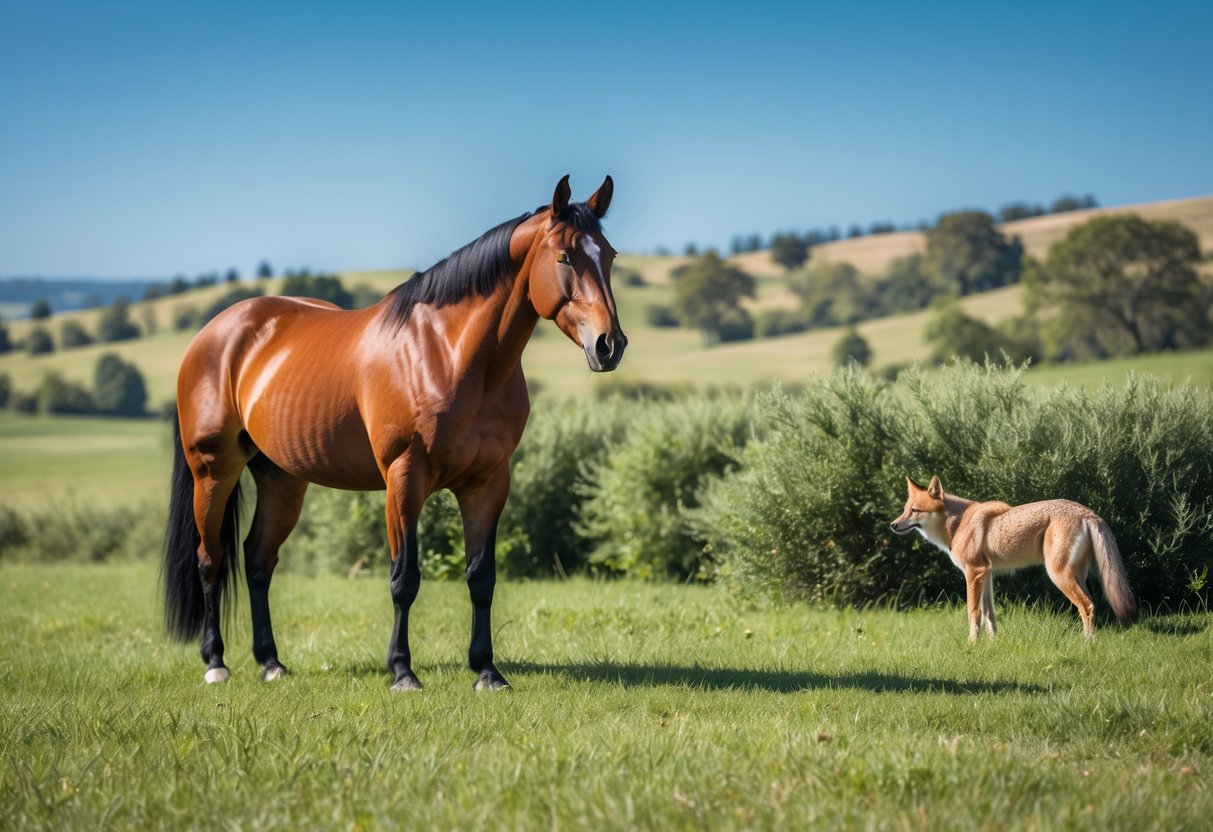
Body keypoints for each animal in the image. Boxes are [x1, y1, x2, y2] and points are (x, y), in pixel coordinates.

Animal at [163, 175, 626, 691]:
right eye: (564, 257)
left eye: (609, 255)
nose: (610, 345)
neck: (449, 353)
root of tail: (214, 333)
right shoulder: (405, 477)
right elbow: (404, 579)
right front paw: (403, 670)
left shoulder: (488, 484)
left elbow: (481, 577)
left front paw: (487, 670)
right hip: (213, 471)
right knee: (211, 559)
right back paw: (216, 662)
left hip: (282, 479)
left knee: (257, 561)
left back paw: (271, 662)